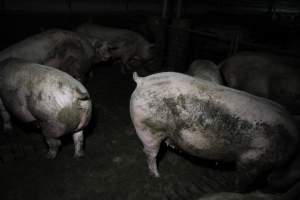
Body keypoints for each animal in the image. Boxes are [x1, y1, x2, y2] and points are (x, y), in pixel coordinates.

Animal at [130, 71, 298, 191]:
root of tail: (142, 80)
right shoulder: (252, 161)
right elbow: (243, 183)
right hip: (148, 128)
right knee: (150, 153)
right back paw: (157, 176)